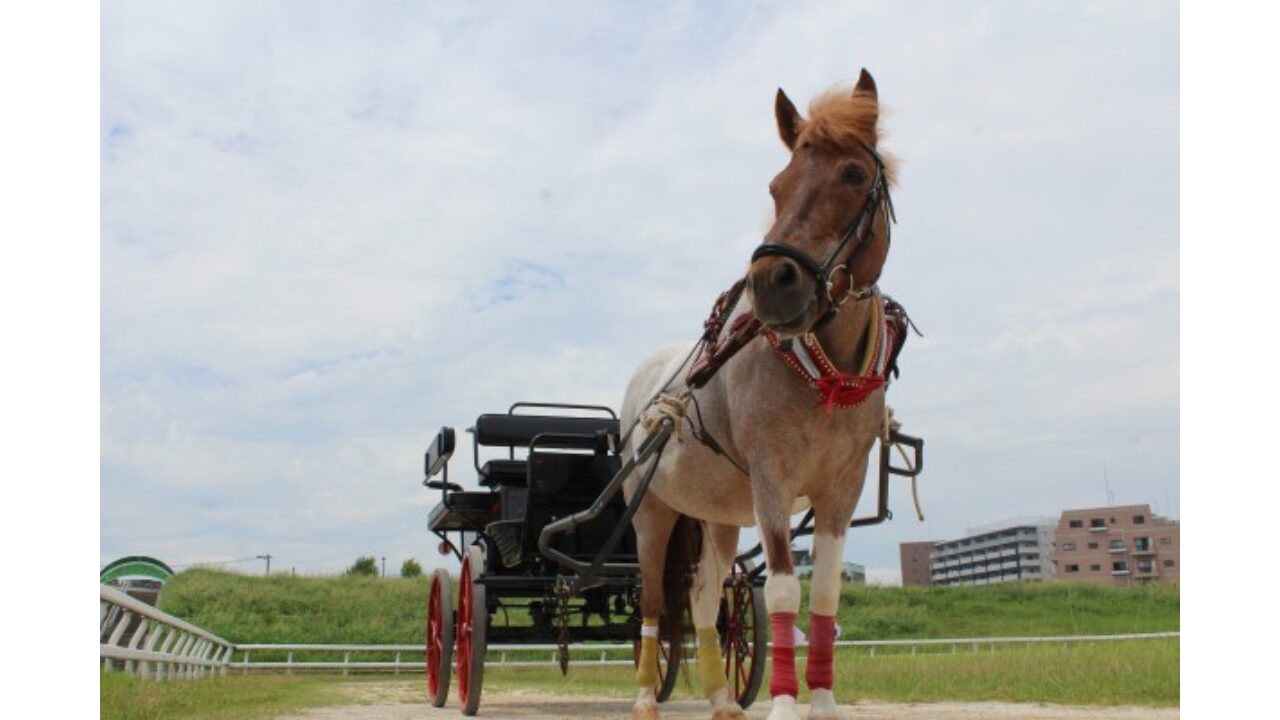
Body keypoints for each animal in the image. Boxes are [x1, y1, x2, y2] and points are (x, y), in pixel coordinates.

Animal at [621, 69, 900, 720]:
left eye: (854, 175)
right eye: (777, 186)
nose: (772, 281)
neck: (827, 377)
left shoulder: (842, 486)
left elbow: (824, 593)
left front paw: (821, 700)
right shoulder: (773, 476)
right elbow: (781, 588)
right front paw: (785, 703)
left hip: (717, 512)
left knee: (702, 597)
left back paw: (723, 699)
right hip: (650, 511)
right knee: (652, 601)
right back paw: (645, 695)